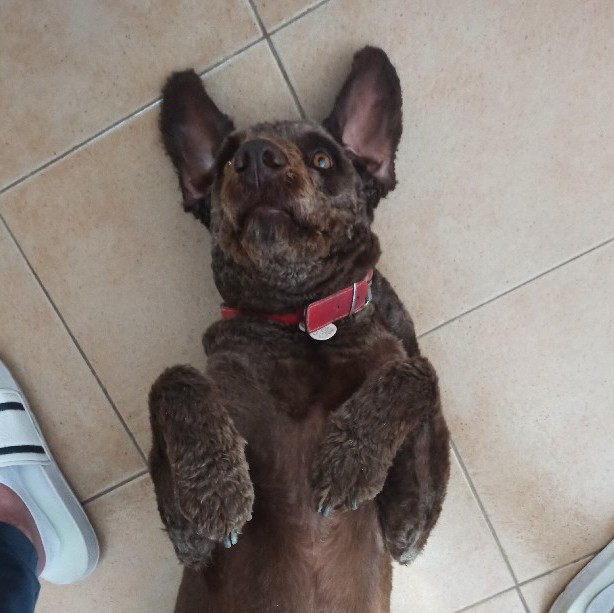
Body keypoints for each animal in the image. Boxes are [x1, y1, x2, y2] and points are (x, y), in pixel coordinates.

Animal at [148, 46, 450, 613]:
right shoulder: (192, 544)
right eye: (225, 161)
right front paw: (217, 486)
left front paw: (349, 458)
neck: (300, 324)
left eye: (323, 159)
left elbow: (419, 369)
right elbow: (173, 378)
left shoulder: (408, 532)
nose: (255, 157)